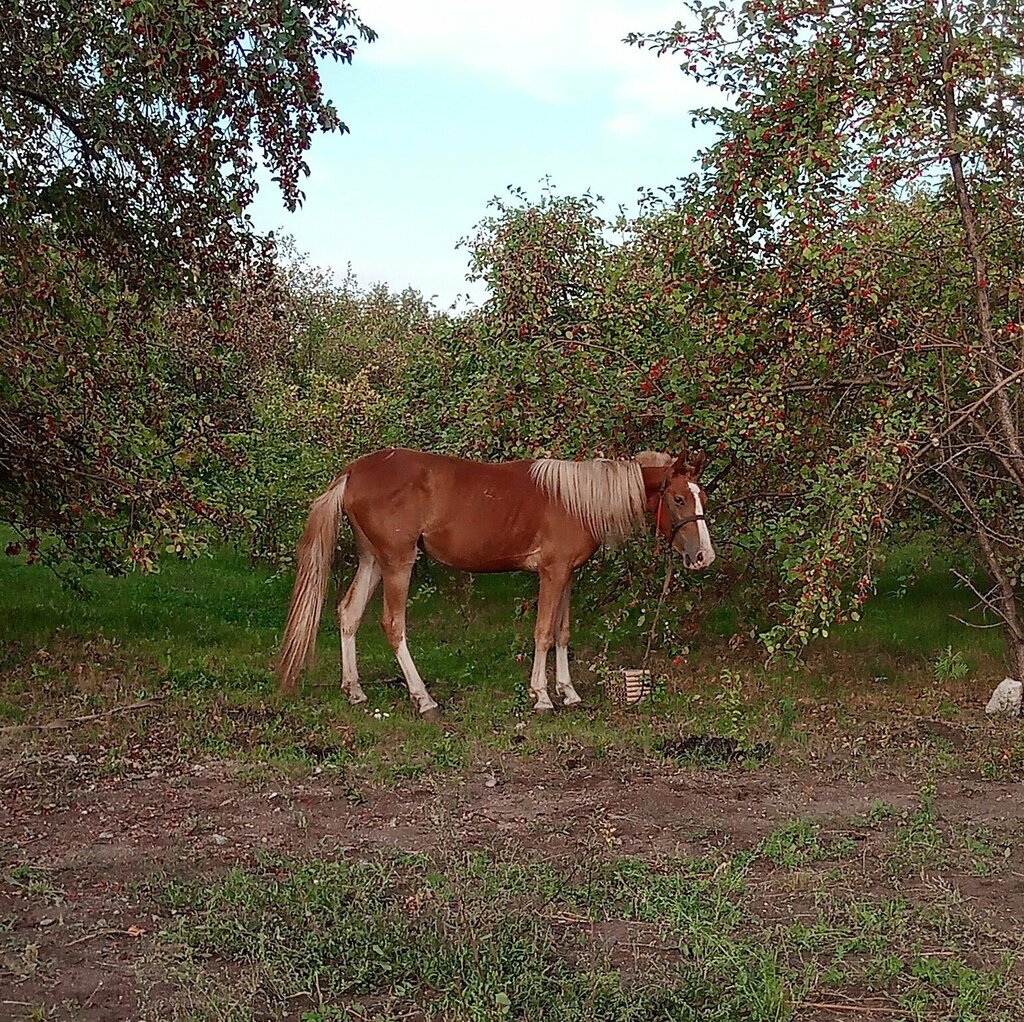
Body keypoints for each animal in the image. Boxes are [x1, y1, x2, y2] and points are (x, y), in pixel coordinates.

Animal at [276, 446, 716, 720]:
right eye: (678, 499)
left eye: (702, 498)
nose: (703, 557)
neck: (577, 500)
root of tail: (352, 473)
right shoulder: (552, 572)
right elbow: (543, 632)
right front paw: (542, 697)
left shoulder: (567, 574)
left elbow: (563, 633)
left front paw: (569, 693)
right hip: (398, 562)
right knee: (393, 625)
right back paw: (424, 700)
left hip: (373, 561)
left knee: (348, 614)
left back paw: (354, 690)